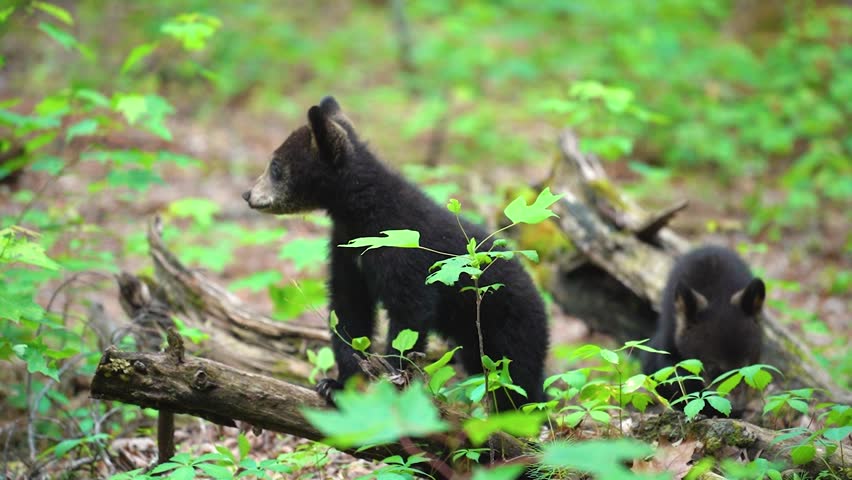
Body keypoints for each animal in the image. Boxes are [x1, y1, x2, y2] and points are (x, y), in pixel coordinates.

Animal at [242, 96, 549, 412]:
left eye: (275, 166)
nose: (248, 195)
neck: (362, 213)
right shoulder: (347, 249)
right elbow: (349, 309)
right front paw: (337, 384)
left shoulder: (404, 252)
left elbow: (409, 314)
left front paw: (391, 385)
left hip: (509, 328)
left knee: (518, 379)